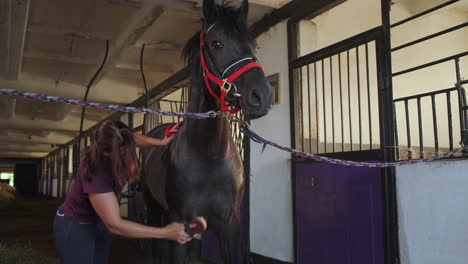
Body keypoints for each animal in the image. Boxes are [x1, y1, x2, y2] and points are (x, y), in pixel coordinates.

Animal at [143, 1, 274, 262]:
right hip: (153, 209)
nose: (262, 96)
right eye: (217, 43)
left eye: (254, 45)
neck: (209, 155)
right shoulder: (180, 224)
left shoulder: (229, 227)